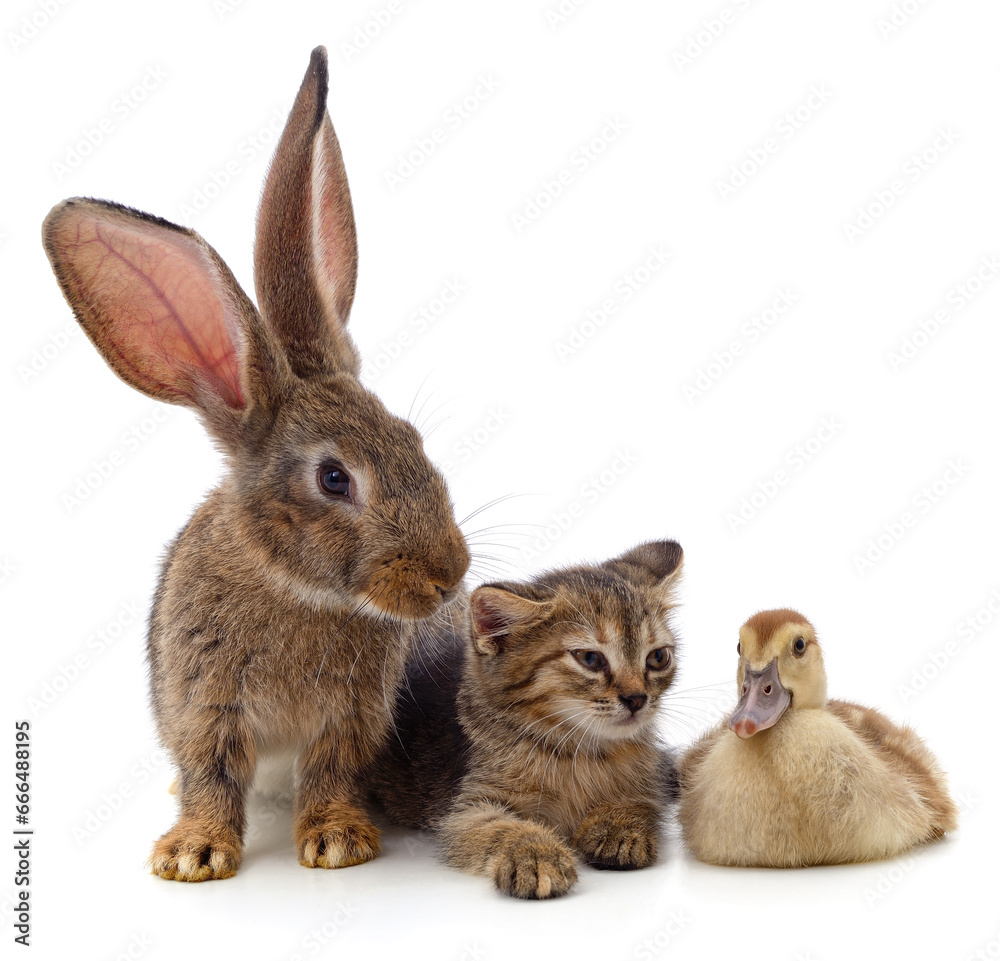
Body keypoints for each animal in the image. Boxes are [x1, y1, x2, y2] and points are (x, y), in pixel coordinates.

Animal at [41, 48, 470, 880]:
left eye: (412, 438)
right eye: (334, 478)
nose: (448, 575)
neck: (292, 584)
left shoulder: (348, 716)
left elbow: (330, 770)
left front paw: (337, 842)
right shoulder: (205, 705)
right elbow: (210, 774)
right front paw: (193, 853)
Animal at [372, 540, 684, 900]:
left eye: (658, 657)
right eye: (590, 659)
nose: (637, 699)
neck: (581, 751)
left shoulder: (651, 780)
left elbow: (640, 802)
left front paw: (618, 827)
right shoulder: (465, 808)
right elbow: (500, 827)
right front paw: (535, 854)